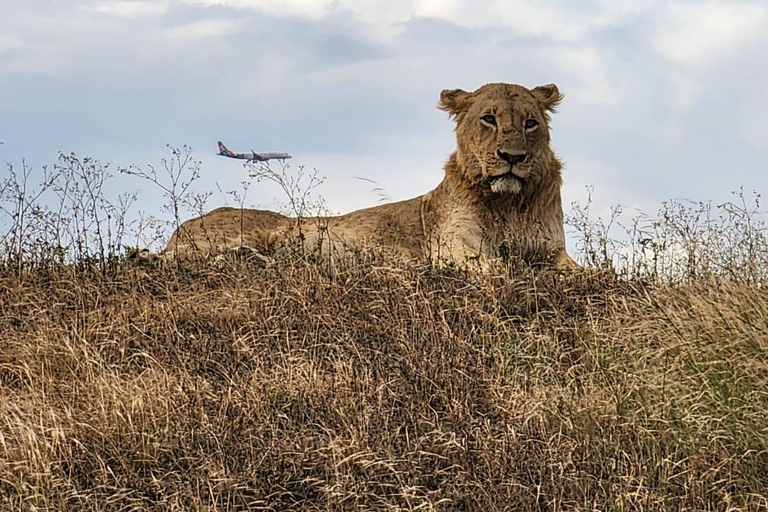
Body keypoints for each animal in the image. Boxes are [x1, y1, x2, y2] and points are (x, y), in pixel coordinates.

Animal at [164, 82, 584, 270]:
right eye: (489, 119)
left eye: (530, 124)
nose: (513, 157)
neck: (509, 204)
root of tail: (178, 230)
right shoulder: (449, 245)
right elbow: (495, 266)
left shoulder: (553, 250)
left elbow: (578, 271)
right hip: (244, 232)